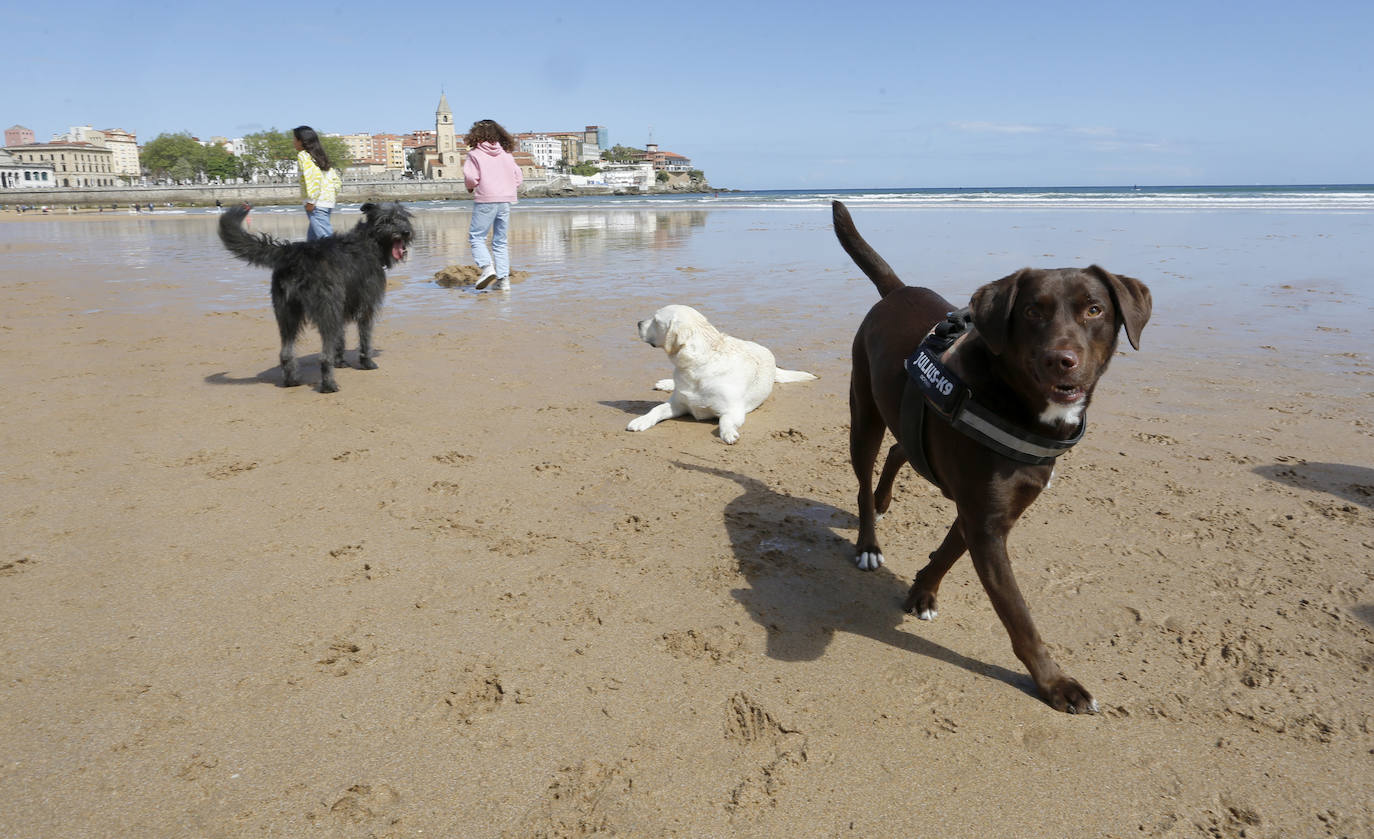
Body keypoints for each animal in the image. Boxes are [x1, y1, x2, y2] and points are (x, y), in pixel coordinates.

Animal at [217, 203, 412, 392]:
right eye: (386, 220)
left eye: (404, 218)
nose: (405, 232)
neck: (369, 241)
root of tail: (293, 252)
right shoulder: (365, 305)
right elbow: (365, 338)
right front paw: (367, 363)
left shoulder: (340, 308)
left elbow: (340, 338)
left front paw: (340, 362)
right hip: (326, 309)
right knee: (323, 356)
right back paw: (329, 386)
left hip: (287, 312)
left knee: (286, 353)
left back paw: (292, 381)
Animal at [629, 303, 813, 447]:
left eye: (655, 320)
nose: (638, 322)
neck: (697, 366)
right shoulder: (677, 404)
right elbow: (656, 409)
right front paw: (641, 420)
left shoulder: (733, 410)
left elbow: (724, 421)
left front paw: (728, 433)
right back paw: (666, 383)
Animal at [835, 200, 1148, 714]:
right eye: (1033, 310)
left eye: (1094, 309)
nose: (1062, 359)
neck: (1020, 405)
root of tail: (897, 290)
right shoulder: (986, 521)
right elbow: (1018, 615)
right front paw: (1055, 683)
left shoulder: (990, 512)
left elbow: (948, 551)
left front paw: (922, 592)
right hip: (864, 412)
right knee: (863, 477)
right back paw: (868, 540)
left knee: (904, 446)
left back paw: (884, 501)